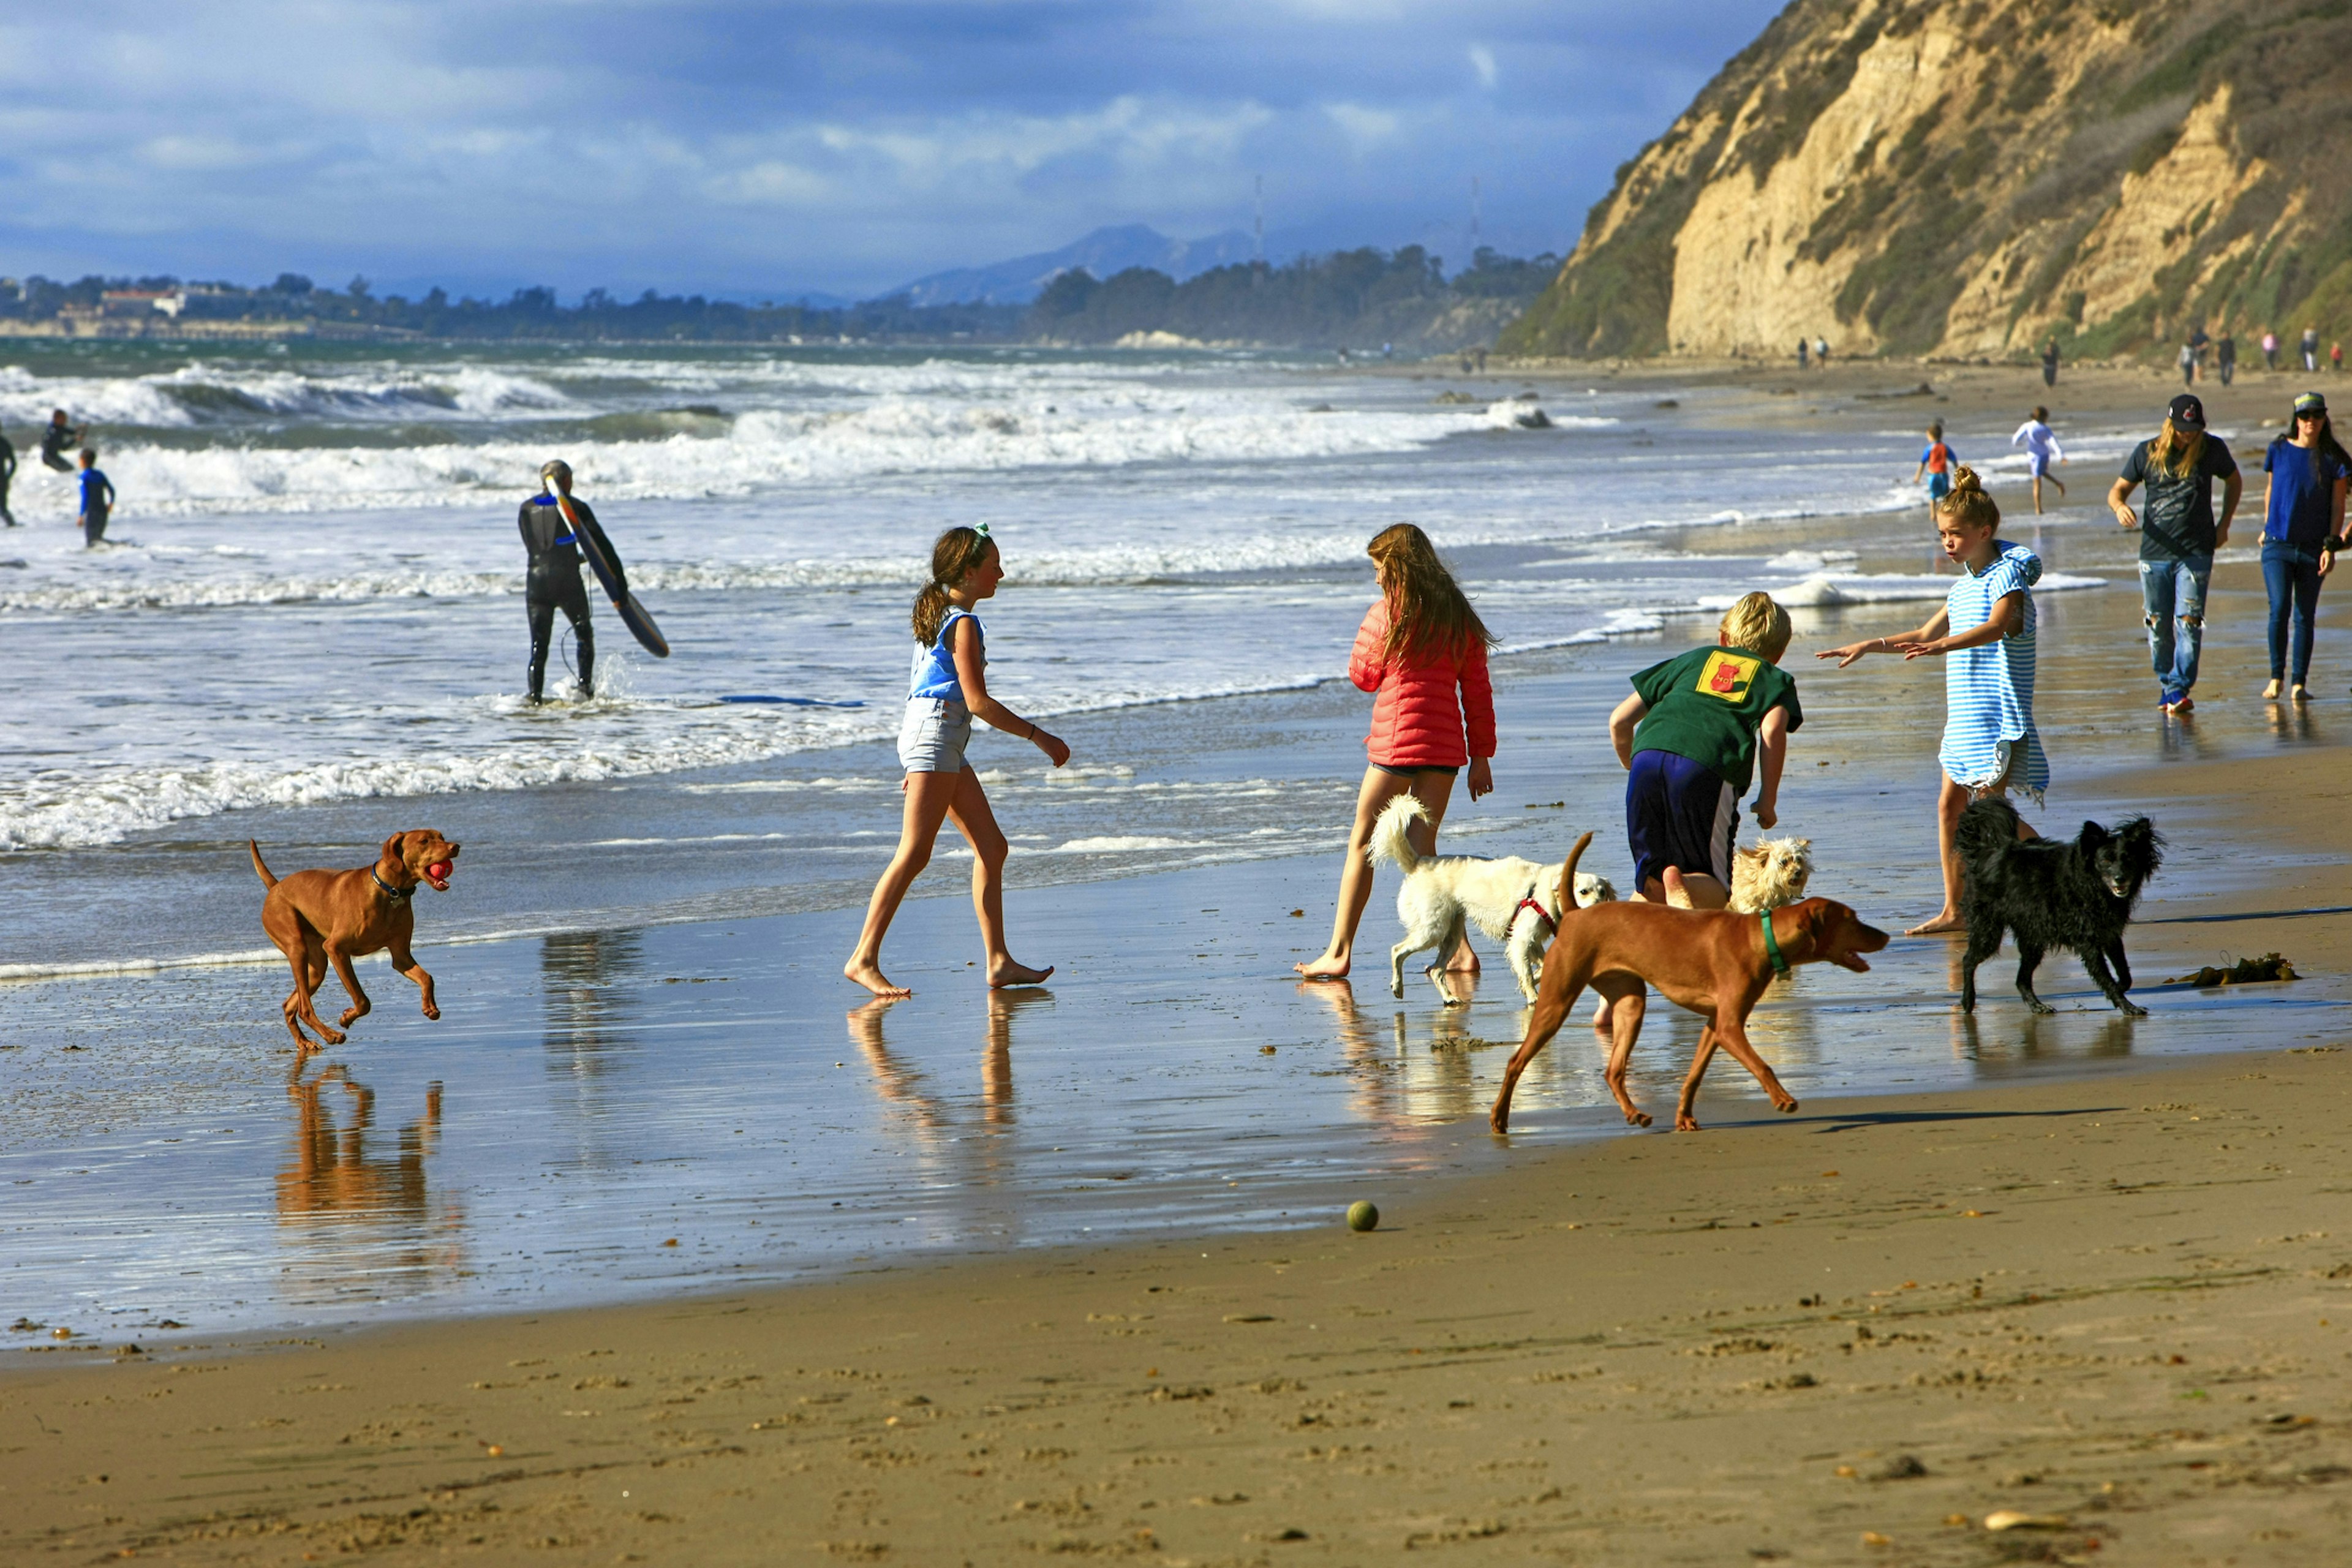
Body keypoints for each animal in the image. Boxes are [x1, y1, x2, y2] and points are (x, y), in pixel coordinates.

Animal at [254, 832, 463, 1053]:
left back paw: (305, 1042)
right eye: (424, 841)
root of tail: (275, 887)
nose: (455, 847)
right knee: (304, 1008)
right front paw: (346, 1018)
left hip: (316, 969)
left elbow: (427, 978)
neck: (391, 892)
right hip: (297, 948)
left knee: (290, 1004)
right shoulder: (336, 949)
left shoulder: (401, 956)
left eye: (442, 837)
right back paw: (331, 1035)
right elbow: (362, 1000)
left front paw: (430, 1007)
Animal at [1373, 799, 1618, 1006]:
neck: (1549, 893)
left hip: (1452, 934)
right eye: (1583, 892)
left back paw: (1450, 998)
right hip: (1432, 929)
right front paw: (1533, 996)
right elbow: (1528, 972)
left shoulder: (1533, 941)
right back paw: (1398, 986)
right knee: (1397, 951)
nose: (1600, 909)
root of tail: (1420, 863)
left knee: (1436, 970)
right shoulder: (1521, 940)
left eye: (1603, 892)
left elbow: (1541, 966)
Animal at [1486, 832, 1891, 1142]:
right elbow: (1763, 1066)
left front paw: (1684, 1119)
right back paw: (1499, 1119)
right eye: (1851, 919)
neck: (1759, 934)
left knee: (1613, 1070)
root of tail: (1575, 915)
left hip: (1631, 1003)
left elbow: (1693, 1077)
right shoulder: (1729, 1026)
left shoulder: (1715, 1025)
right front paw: (1782, 1100)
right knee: (1515, 1061)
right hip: (1556, 1004)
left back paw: (1635, 1114)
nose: (1886, 936)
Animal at [1956, 799, 2154, 1020]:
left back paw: (2038, 1006)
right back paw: (1968, 1000)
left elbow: (2125, 975)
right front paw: (2127, 1006)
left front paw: (2119, 990)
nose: (2120, 879)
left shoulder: (2110, 934)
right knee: (1968, 961)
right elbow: (2107, 978)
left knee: (2021, 979)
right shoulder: (2089, 942)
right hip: (1988, 931)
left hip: (2033, 938)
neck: (2090, 885)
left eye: (2128, 859)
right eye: (2105, 861)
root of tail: (1985, 851)